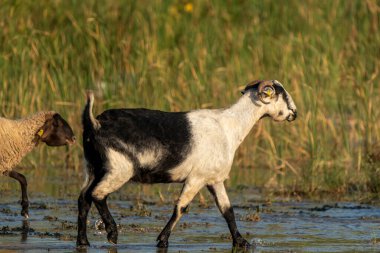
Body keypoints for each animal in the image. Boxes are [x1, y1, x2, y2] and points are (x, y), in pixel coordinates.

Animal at [76, 80, 296, 248]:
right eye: (280, 94)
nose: (294, 113)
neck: (229, 127)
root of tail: (95, 123)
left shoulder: (214, 179)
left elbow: (227, 211)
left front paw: (242, 242)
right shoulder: (196, 178)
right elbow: (181, 207)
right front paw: (162, 240)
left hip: (92, 167)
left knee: (83, 199)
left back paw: (83, 242)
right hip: (120, 168)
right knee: (97, 194)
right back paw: (112, 233)